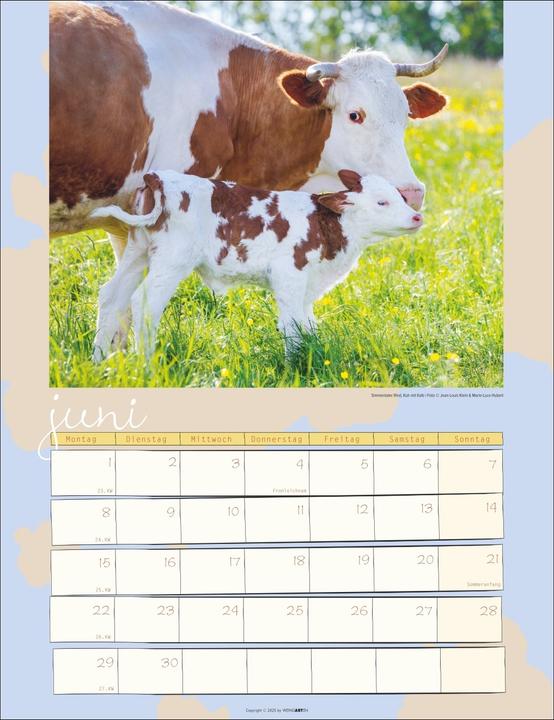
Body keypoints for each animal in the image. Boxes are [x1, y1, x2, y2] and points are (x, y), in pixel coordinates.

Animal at [91, 170, 423, 360]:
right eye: (382, 202)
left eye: (400, 197)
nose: (417, 216)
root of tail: (158, 176)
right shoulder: (289, 275)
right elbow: (292, 326)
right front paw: (293, 366)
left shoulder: (308, 286)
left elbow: (308, 324)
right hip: (173, 258)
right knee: (144, 302)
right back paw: (147, 364)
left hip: (137, 250)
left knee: (112, 296)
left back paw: (99, 361)